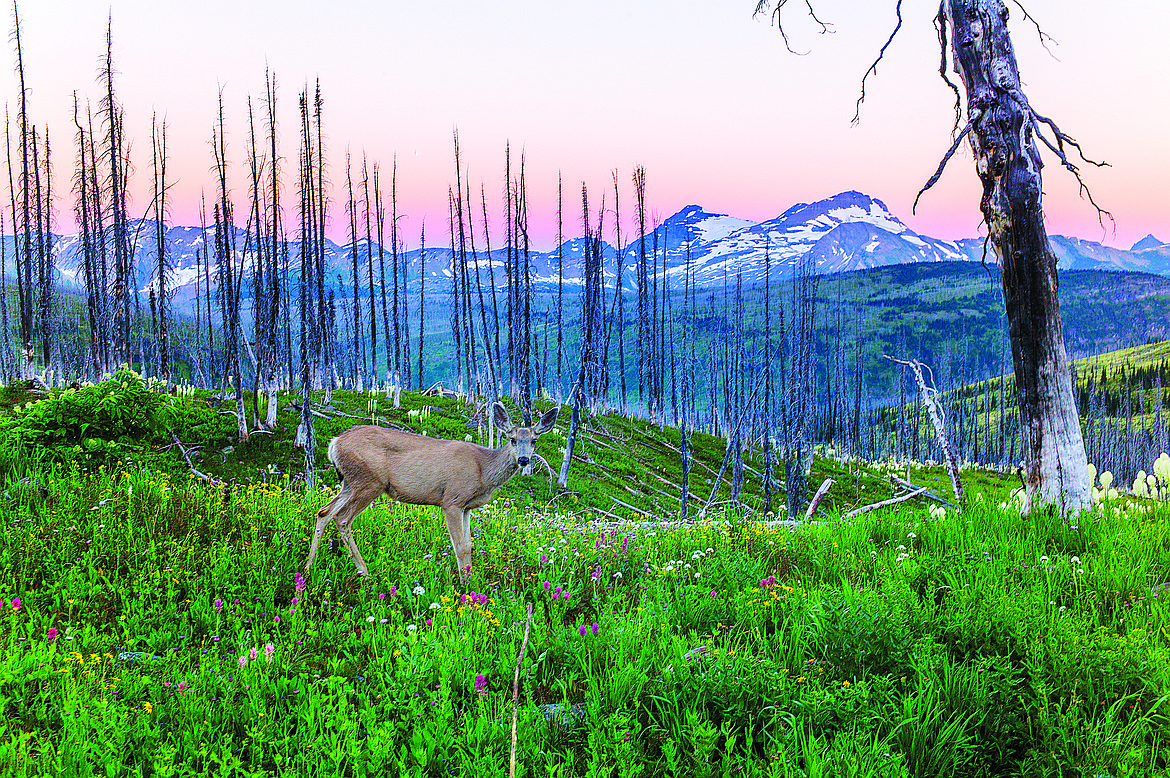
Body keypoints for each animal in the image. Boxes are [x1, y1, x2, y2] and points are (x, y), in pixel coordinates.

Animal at [301, 400, 556, 575]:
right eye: (512, 439)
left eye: (534, 440)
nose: (523, 459)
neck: (483, 470)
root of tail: (334, 443)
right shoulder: (452, 500)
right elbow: (459, 547)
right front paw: (464, 587)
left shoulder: (467, 507)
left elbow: (469, 546)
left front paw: (472, 583)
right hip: (369, 481)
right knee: (342, 518)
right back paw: (364, 572)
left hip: (349, 482)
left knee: (324, 511)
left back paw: (308, 566)